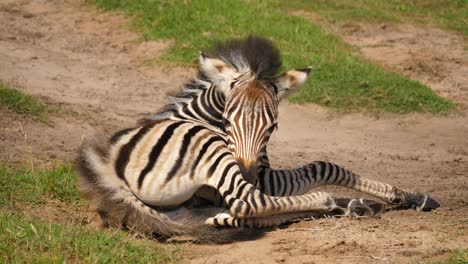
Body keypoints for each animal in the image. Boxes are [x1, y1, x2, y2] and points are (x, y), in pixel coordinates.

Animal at [77, 36, 438, 240]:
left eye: (273, 126)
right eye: (226, 120)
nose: (247, 172)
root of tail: (109, 167)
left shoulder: (264, 174)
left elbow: (327, 167)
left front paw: (407, 196)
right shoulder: (265, 179)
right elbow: (323, 168)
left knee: (231, 213)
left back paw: (346, 205)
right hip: (209, 153)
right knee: (247, 202)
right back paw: (328, 201)